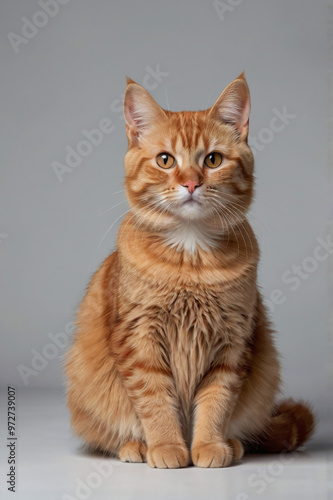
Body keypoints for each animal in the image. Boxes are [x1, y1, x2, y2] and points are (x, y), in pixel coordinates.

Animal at [65, 72, 314, 466]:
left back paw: (234, 443)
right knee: (109, 433)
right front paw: (167, 445)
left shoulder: (233, 341)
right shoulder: (139, 338)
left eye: (213, 159)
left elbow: (217, 400)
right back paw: (135, 446)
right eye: (165, 160)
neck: (190, 259)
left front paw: (209, 445)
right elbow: (154, 399)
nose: (191, 182)